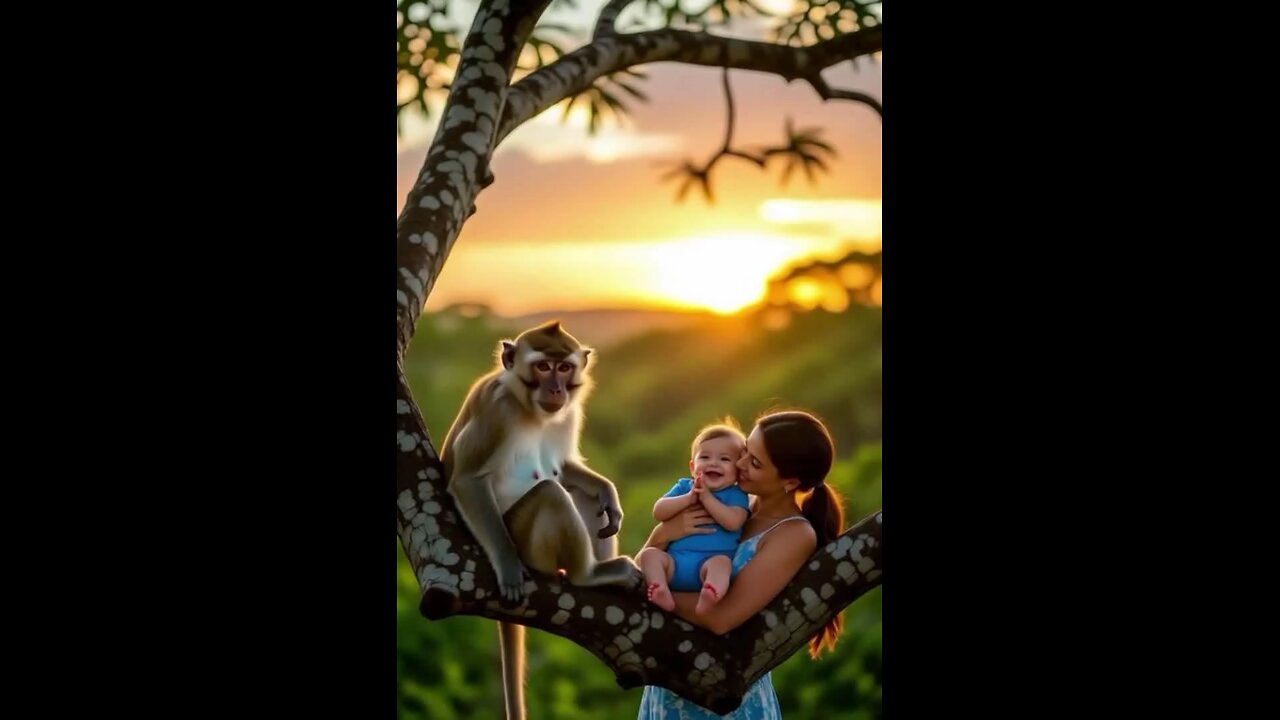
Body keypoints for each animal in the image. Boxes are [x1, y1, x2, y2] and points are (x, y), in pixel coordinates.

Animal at [441, 320, 640, 720]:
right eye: (544, 367)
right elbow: (468, 479)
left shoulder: (569, 413)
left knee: (577, 494)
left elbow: (564, 466)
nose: (556, 389)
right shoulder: (495, 409)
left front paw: (608, 493)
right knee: (551, 494)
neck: (529, 407)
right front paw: (507, 566)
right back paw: (588, 574)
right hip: (523, 539)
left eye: (564, 367)